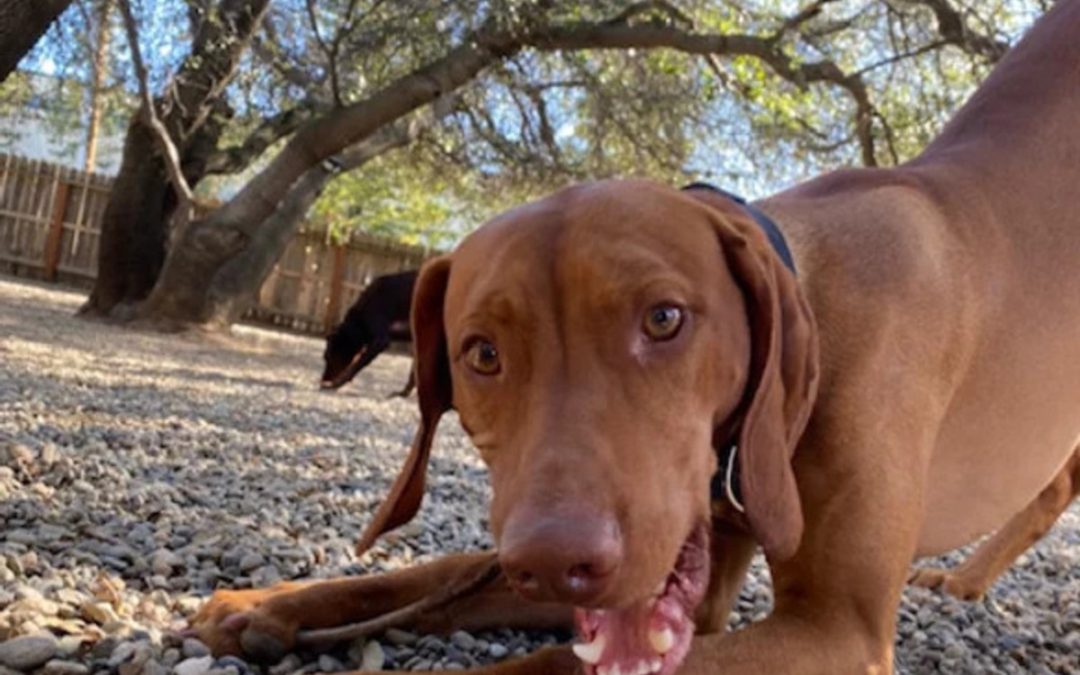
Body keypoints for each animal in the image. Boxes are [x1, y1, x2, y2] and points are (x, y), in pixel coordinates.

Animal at [190, 2, 1080, 669]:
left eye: (664, 319)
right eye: (482, 353)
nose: (558, 560)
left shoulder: (836, 629)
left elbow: (544, 666)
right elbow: (442, 568)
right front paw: (268, 603)